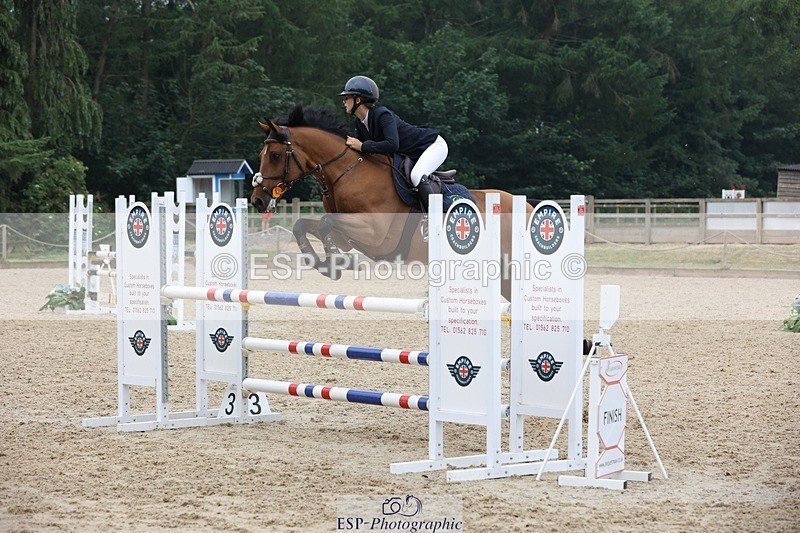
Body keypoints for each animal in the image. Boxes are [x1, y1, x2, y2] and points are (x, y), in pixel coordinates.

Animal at [250, 104, 531, 301]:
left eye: (275, 155)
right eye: (262, 153)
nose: (257, 200)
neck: (348, 171)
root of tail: (527, 207)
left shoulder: (375, 233)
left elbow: (325, 222)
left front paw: (338, 263)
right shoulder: (346, 236)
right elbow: (307, 225)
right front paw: (328, 265)